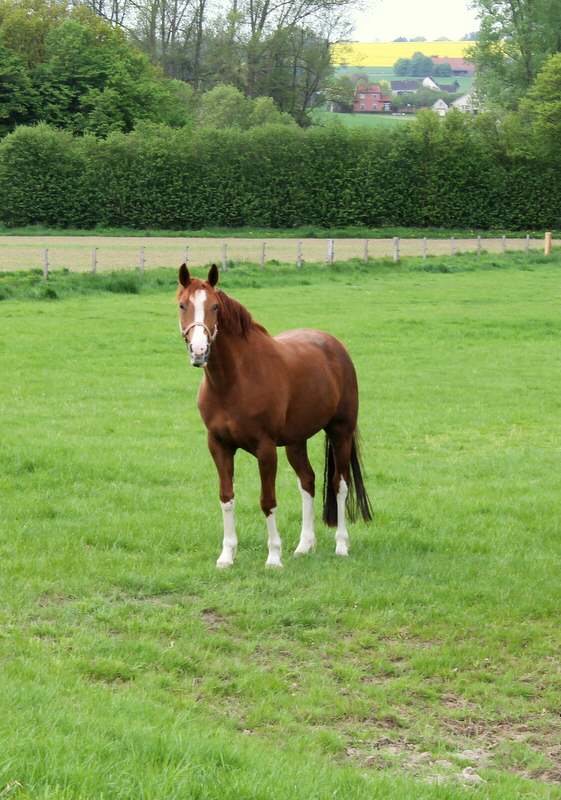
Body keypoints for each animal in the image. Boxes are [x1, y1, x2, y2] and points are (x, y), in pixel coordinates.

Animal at [177, 266, 372, 564]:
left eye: (215, 307)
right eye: (182, 305)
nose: (199, 351)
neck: (234, 381)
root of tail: (335, 346)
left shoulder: (265, 448)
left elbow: (267, 501)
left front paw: (273, 557)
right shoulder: (219, 445)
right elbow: (226, 497)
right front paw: (227, 556)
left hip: (340, 431)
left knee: (340, 484)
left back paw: (341, 545)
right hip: (296, 441)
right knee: (308, 481)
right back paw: (304, 545)